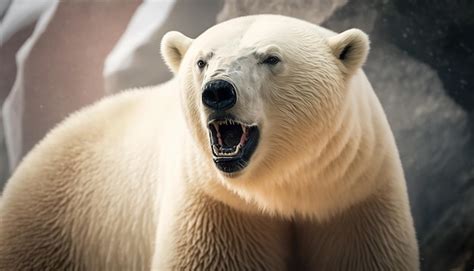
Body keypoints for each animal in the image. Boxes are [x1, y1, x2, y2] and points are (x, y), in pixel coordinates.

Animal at [0, 15, 418, 271]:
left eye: (270, 58)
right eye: (202, 61)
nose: (218, 91)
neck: (281, 188)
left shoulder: (353, 196)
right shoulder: (216, 204)